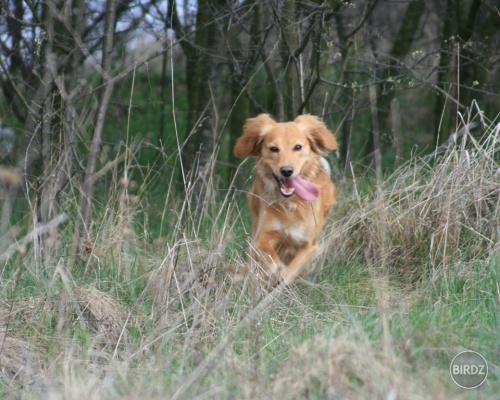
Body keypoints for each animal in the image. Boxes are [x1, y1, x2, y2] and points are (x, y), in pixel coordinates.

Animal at [233, 113, 336, 284]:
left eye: (298, 147)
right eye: (274, 149)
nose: (287, 171)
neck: (291, 203)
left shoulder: (309, 245)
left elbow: (292, 270)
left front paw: (282, 278)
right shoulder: (262, 238)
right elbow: (272, 260)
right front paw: (275, 272)